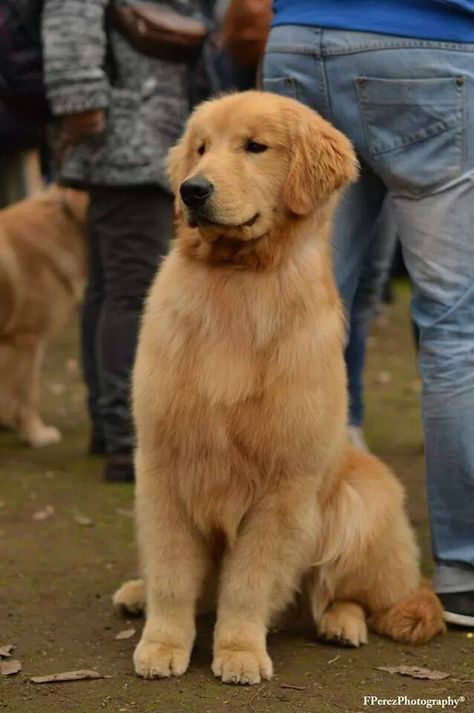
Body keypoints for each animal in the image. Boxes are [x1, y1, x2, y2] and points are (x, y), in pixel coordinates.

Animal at [115, 90, 444, 684]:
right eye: (201, 148)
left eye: (255, 147)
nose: (191, 190)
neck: (237, 280)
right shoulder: (164, 464)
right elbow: (172, 571)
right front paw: (163, 643)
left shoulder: (283, 484)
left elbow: (249, 581)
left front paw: (240, 650)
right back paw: (136, 592)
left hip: (365, 500)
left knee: (345, 592)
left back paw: (342, 622)